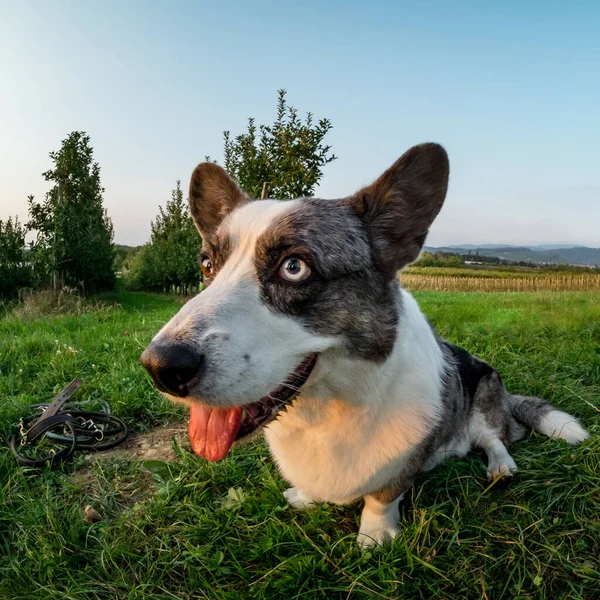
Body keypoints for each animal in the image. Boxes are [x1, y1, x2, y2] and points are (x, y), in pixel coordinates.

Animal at [142, 144, 592, 548]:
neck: (327, 410)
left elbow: (383, 495)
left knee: (497, 437)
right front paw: (306, 497)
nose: (159, 367)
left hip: (483, 391)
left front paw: (374, 537)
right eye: (206, 266)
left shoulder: (400, 467)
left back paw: (501, 467)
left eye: (294, 267)